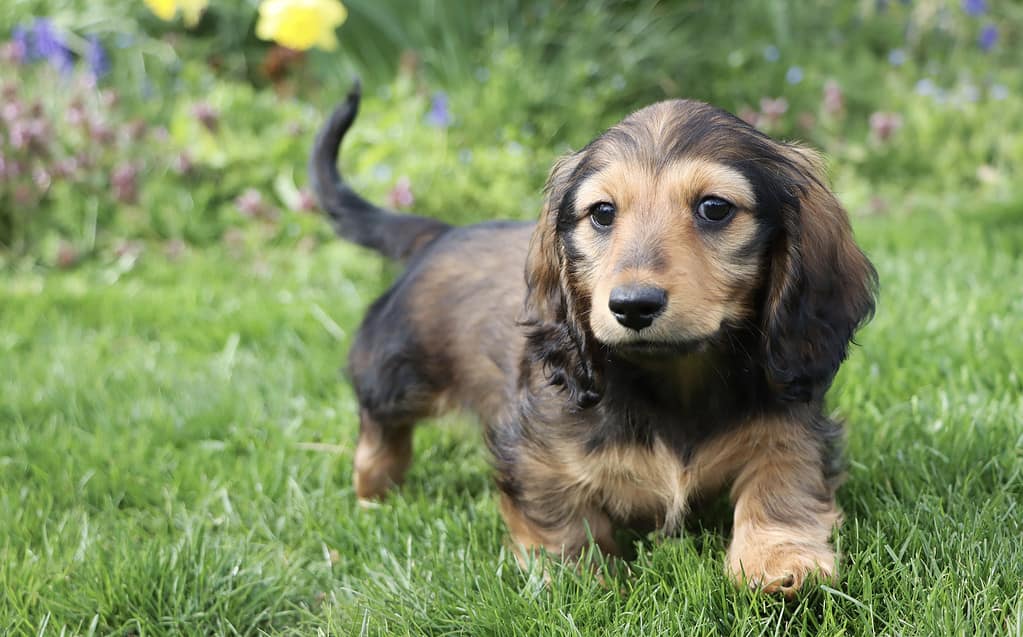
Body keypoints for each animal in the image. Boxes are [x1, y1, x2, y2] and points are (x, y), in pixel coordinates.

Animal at [306, 82, 875, 597]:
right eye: (602, 212)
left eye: (715, 208)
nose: (633, 306)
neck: (674, 381)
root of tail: (440, 234)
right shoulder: (535, 453)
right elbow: (561, 518)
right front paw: (578, 580)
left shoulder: (791, 424)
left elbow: (779, 485)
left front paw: (780, 561)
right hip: (396, 373)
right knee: (379, 431)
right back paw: (375, 493)